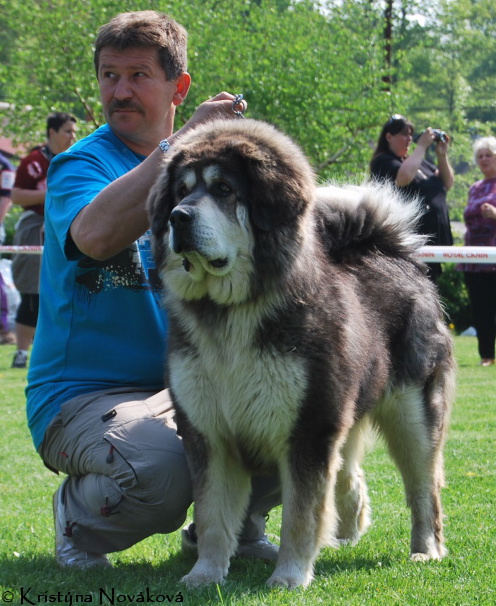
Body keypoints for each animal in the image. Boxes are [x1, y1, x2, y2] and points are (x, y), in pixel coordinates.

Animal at [149, 117, 456, 588]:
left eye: (223, 189)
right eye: (182, 191)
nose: (177, 217)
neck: (232, 313)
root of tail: (396, 257)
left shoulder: (306, 429)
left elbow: (301, 512)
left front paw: (289, 576)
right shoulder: (209, 434)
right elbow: (213, 516)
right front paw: (204, 575)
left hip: (414, 418)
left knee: (424, 491)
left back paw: (425, 550)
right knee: (348, 469)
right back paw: (351, 521)